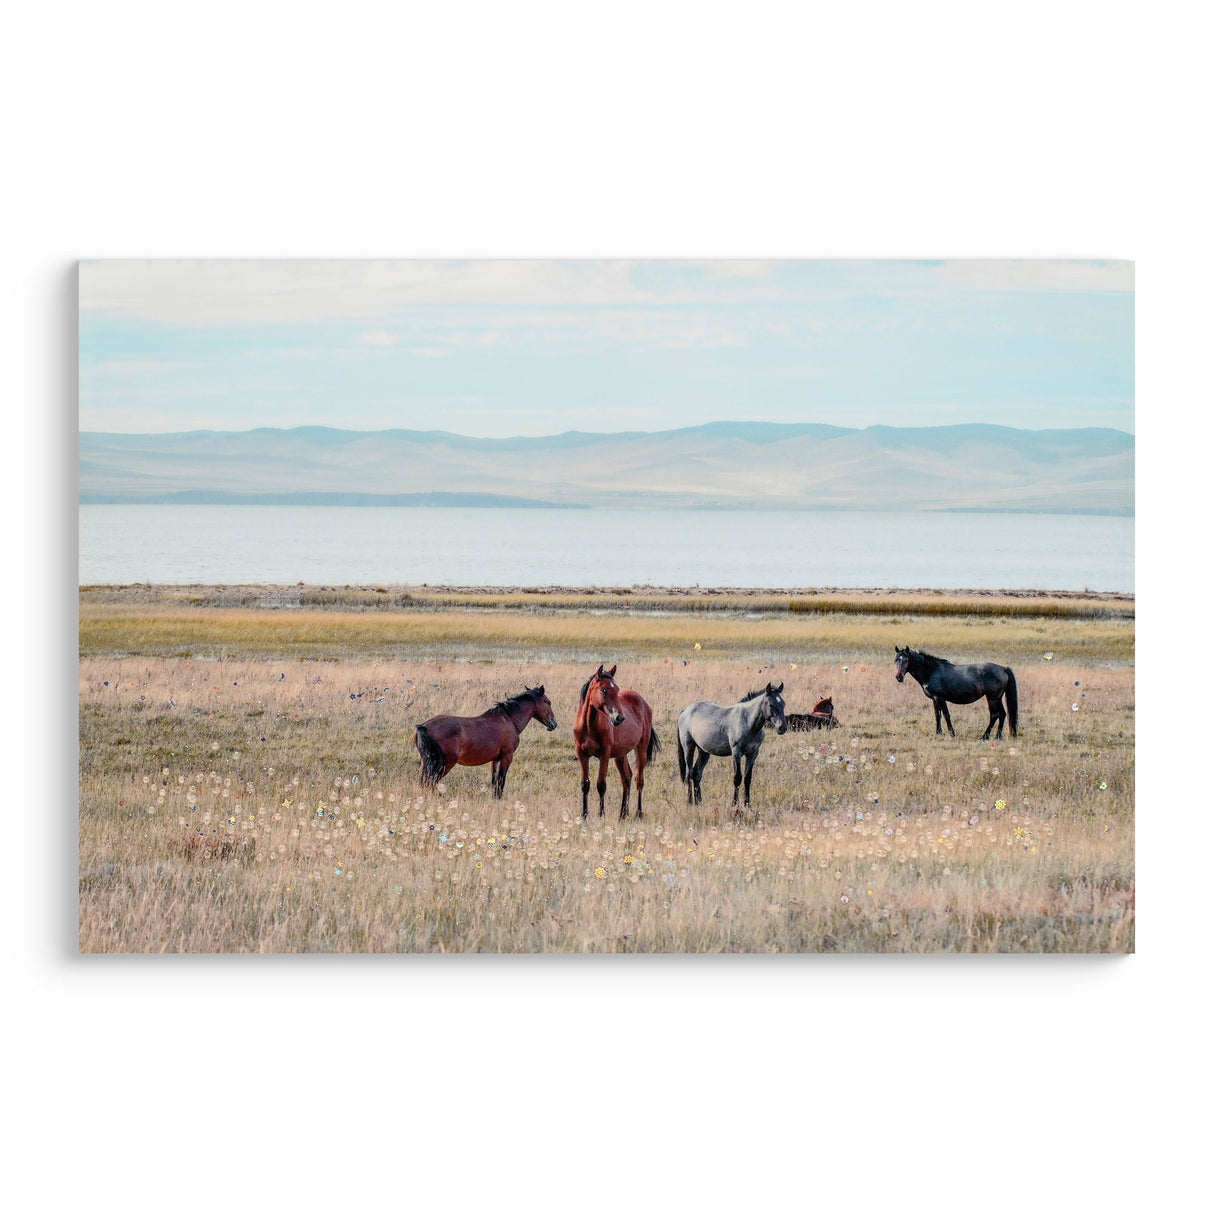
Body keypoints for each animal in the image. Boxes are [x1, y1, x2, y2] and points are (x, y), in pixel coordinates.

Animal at [415, 684, 557, 798]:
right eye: (548, 702)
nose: (554, 724)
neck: (509, 719)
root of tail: (423, 726)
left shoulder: (495, 760)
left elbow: (494, 781)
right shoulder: (507, 757)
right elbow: (501, 781)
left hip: (427, 763)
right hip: (445, 764)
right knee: (430, 782)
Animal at [574, 664, 660, 820]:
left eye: (617, 689)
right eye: (604, 690)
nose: (619, 718)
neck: (589, 725)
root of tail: (643, 702)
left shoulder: (604, 754)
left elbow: (601, 784)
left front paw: (601, 815)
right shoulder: (581, 754)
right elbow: (585, 784)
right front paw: (584, 815)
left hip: (641, 750)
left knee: (639, 780)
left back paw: (638, 813)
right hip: (620, 755)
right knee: (627, 778)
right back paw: (622, 814)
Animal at [676, 683, 787, 811]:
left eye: (783, 703)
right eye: (771, 704)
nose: (782, 728)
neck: (748, 722)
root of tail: (685, 711)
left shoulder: (753, 754)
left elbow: (747, 779)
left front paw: (747, 804)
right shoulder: (736, 752)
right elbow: (737, 778)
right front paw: (734, 804)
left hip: (703, 751)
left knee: (697, 773)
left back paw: (699, 801)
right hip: (688, 747)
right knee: (689, 773)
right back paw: (690, 801)